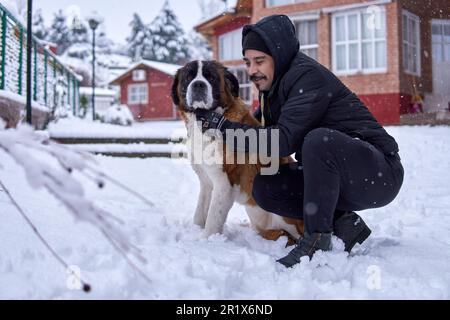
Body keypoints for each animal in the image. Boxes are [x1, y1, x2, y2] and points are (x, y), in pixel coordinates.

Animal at [171, 60, 304, 244]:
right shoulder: (206, 182)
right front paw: (196, 231)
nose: (198, 84)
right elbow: (200, 213)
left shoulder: (224, 183)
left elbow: (213, 218)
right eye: (188, 77)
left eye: (211, 77)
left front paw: (206, 240)